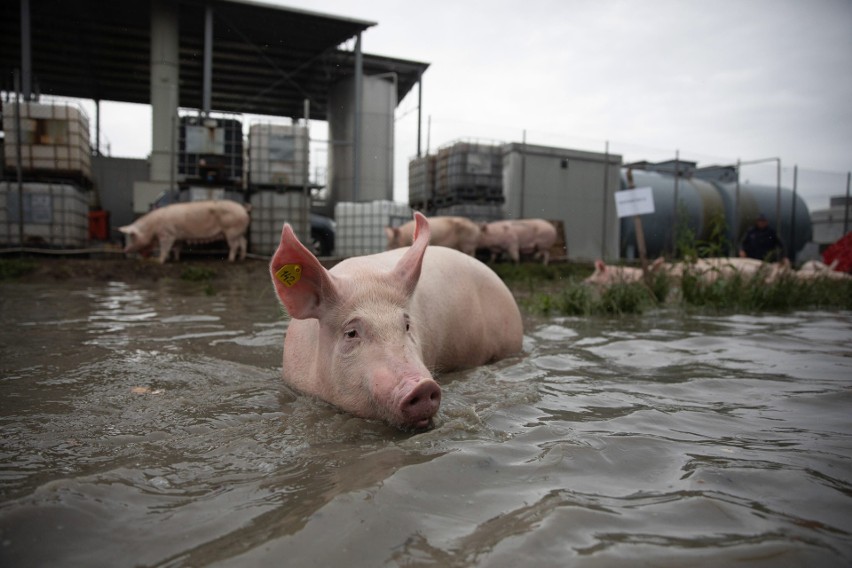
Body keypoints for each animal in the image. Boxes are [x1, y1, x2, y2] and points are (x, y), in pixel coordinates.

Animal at [118, 200, 250, 264]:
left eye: (132, 236)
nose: (124, 250)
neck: (152, 227)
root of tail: (243, 209)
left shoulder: (167, 234)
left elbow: (165, 248)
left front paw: (159, 261)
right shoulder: (178, 237)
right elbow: (177, 248)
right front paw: (176, 260)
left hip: (231, 230)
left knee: (235, 245)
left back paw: (230, 260)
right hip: (238, 232)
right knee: (243, 242)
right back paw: (241, 259)